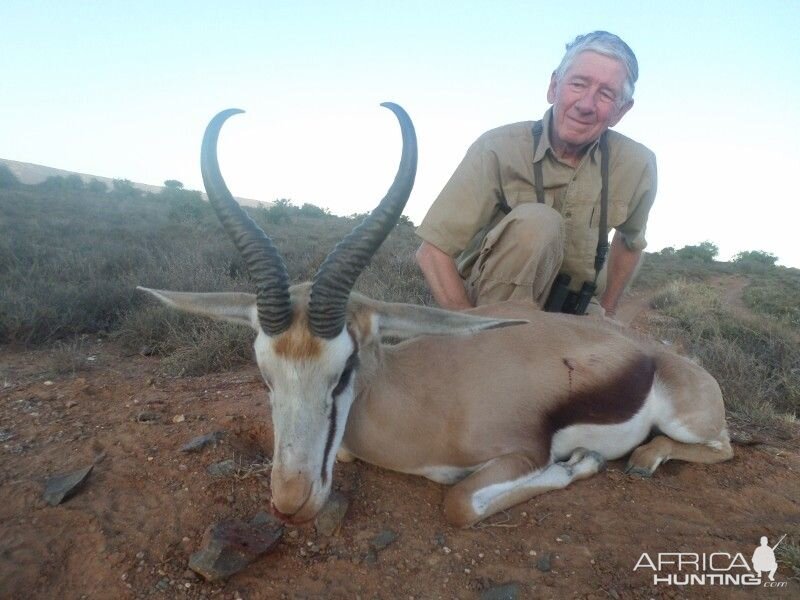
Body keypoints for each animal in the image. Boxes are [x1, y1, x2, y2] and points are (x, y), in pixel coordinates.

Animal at [139, 105, 732, 528]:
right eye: (263, 374)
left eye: (344, 371)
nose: (290, 501)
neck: (420, 398)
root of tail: (663, 357)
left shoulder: (521, 453)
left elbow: (460, 503)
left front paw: (580, 463)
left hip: (688, 422)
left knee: (720, 449)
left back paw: (644, 458)